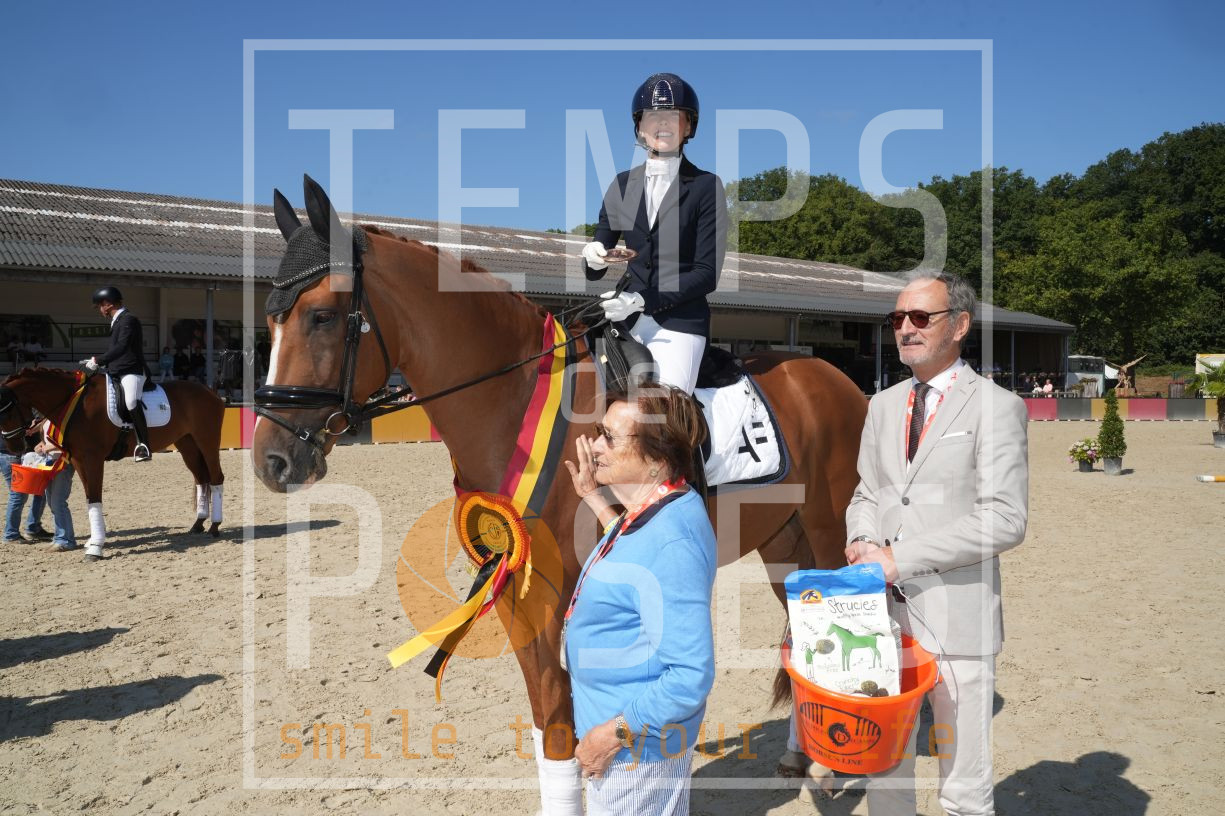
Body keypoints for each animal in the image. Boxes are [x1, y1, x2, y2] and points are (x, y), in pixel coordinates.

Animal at [0, 367, 227, 561]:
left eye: (6, 412)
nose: (13, 446)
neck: (76, 404)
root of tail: (210, 391)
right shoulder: (79, 459)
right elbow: (90, 499)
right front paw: (93, 541)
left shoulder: (92, 458)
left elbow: (95, 498)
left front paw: (95, 548)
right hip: (187, 444)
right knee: (201, 479)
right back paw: (198, 523)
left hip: (207, 441)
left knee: (216, 478)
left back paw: (214, 526)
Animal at [251, 176, 867, 811]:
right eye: (270, 323)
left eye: (322, 316)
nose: (272, 460)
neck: (513, 398)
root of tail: (838, 380)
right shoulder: (513, 589)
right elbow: (546, 726)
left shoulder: (557, 592)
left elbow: (560, 725)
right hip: (783, 544)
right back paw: (798, 754)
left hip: (828, 532)